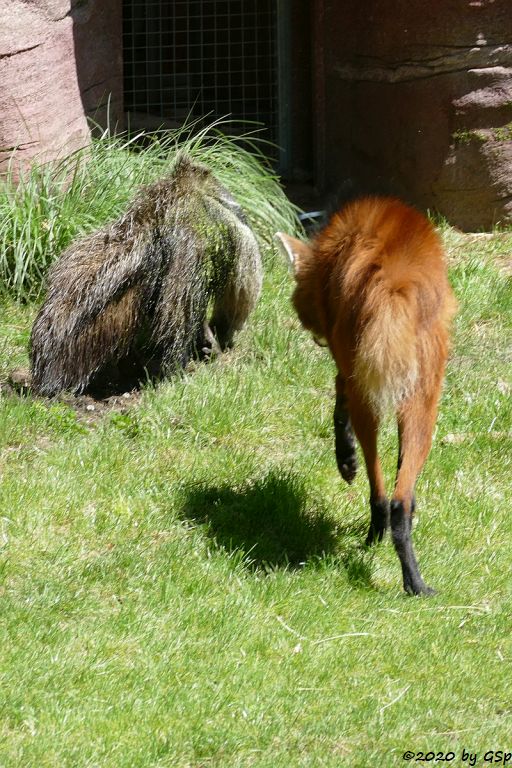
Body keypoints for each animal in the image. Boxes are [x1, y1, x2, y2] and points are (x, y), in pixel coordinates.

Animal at [278, 196, 458, 592]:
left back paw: (375, 534)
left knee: (380, 490)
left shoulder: (348, 362)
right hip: (424, 396)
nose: (312, 331)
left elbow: (338, 401)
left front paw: (346, 461)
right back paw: (414, 581)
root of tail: (397, 281)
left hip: (371, 390)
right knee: (400, 498)